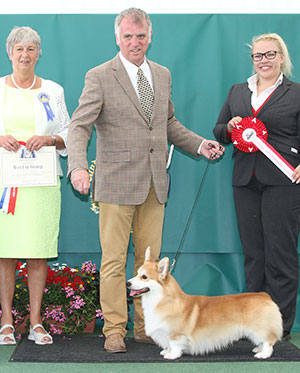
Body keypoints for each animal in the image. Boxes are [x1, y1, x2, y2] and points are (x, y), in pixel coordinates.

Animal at [126, 246, 284, 358]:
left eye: (144, 277)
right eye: (137, 273)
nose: (127, 283)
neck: (162, 298)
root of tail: (265, 296)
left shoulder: (175, 334)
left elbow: (174, 345)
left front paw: (171, 355)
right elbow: (169, 345)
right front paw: (166, 351)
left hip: (259, 328)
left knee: (268, 341)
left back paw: (263, 354)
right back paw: (258, 348)